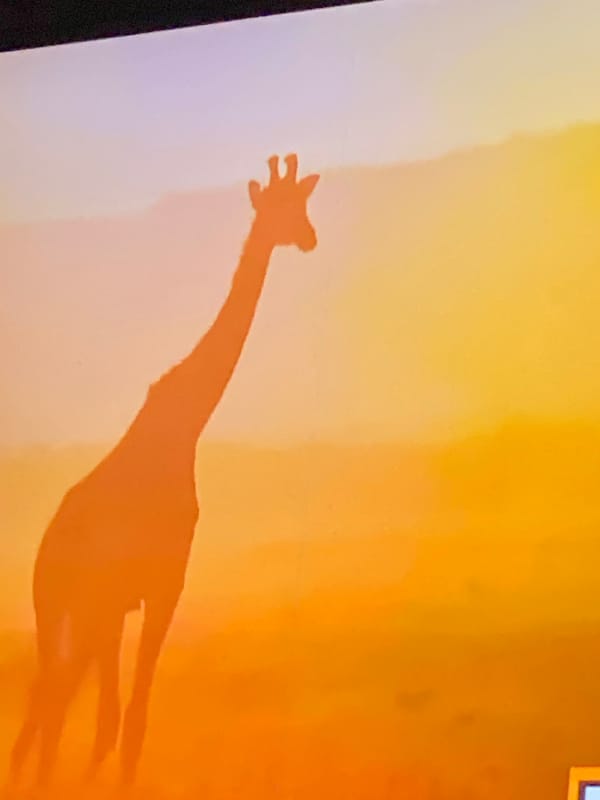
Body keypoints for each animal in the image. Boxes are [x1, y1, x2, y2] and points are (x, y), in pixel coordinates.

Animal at [9, 153, 320, 789]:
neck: (185, 426)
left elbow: (116, 724)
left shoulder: (132, 601)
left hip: (74, 614)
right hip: (73, 610)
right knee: (57, 701)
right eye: (285, 208)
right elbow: (131, 722)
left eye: (302, 204)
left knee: (50, 698)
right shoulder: (165, 584)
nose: (310, 237)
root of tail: (47, 551)